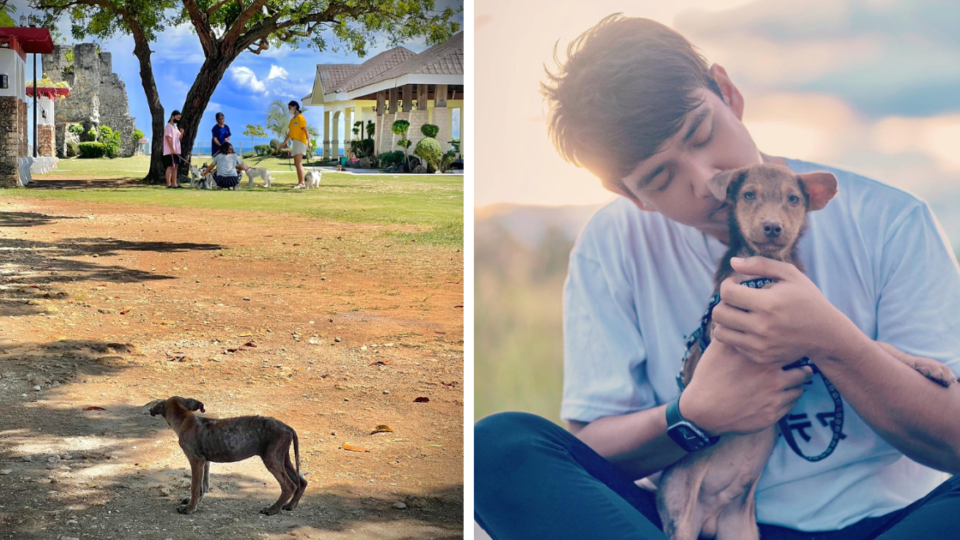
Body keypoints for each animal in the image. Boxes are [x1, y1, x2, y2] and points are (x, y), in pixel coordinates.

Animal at [148, 396, 306, 516]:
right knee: (302, 482)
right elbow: (203, 485)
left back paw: (273, 509)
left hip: (271, 459)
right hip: (283, 459)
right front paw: (195, 502)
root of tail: (287, 427)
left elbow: (194, 486)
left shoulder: (195, 460)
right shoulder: (205, 462)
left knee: (289, 485)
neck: (185, 418)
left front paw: (190, 508)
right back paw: (290, 505)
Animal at [656, 163, 956, 540]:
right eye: (748, 195)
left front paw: (931, 366)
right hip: (679, 512)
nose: (772, 227)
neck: (770, 267)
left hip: (741, 528)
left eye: (794, 200)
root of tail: (709, 518)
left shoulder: (816, 338)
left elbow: (875, 344)